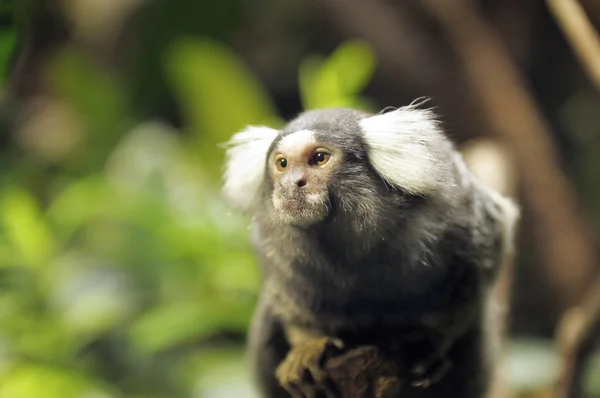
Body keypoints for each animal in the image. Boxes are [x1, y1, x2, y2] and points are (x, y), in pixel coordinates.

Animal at [223, 103, 516, 398]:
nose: (291, 184)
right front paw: (307, 346)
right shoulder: (274, 245)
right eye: (282, 164)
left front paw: (427, 345)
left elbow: (477, 271)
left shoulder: (456, 210)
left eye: (319, 158)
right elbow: (286, 296)